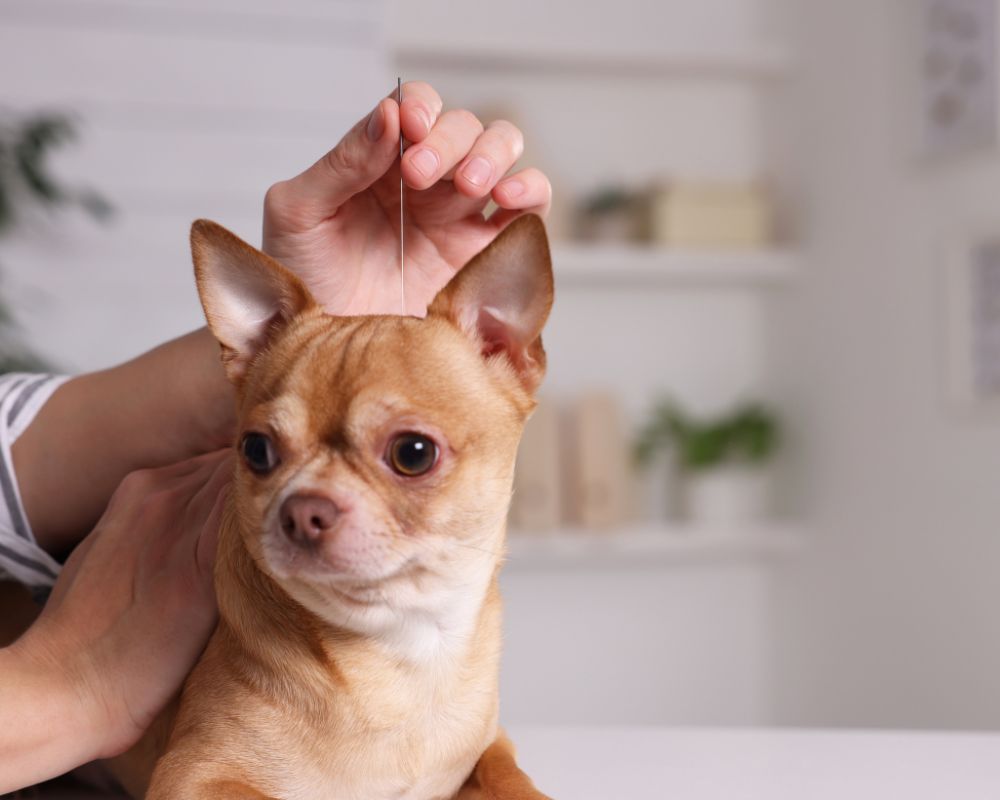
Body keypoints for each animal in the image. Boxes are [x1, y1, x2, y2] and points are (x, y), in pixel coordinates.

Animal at [143, 216, 556, 796]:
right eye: (255, 450)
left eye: (414, 453)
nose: (301, 510)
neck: (401, 650)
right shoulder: (191, 775)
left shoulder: (492, 746)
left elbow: (510, 778)